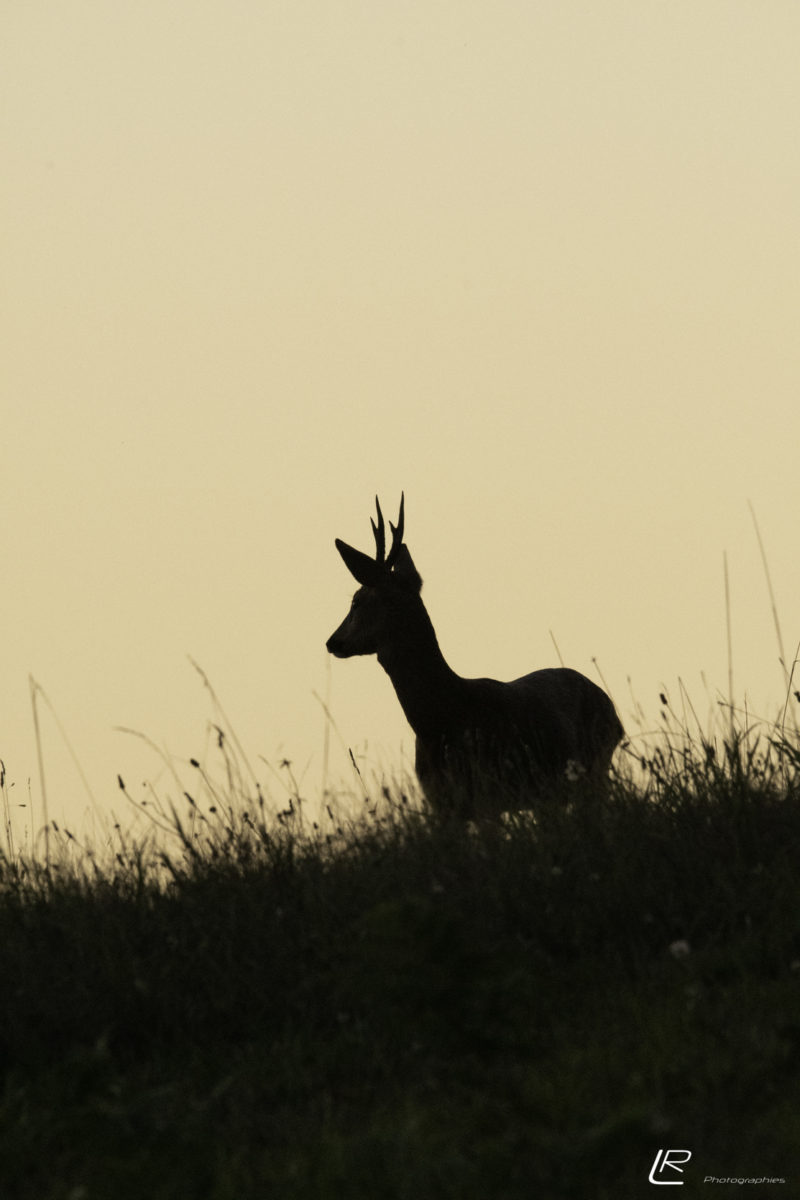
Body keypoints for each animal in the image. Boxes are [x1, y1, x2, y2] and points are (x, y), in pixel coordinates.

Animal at [326, 494, 623, 816]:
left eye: (356, 601)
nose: (333, 641)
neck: (444, 717)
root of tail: (611, 708)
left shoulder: (488, 794)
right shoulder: (442, 802)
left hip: (594, 766)